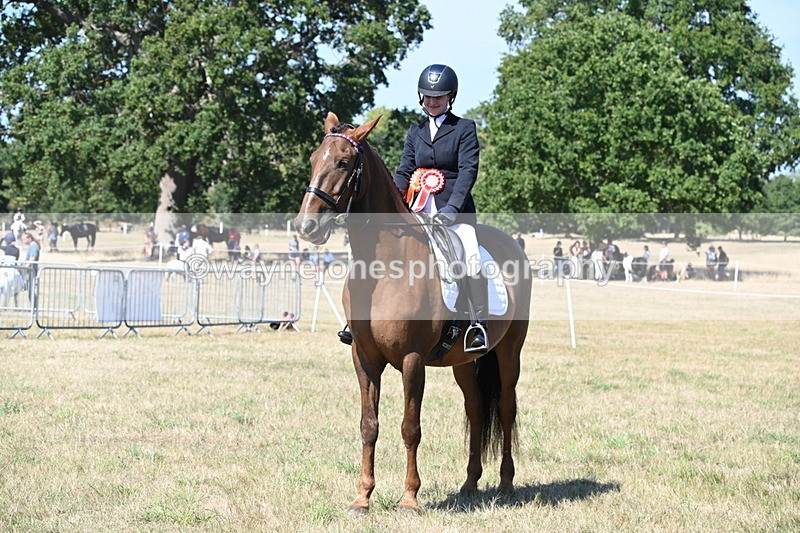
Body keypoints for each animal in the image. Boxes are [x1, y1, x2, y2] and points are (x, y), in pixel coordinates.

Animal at [293, 112, 531, 513]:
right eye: (313, 160)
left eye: (343, 162)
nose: (305, 226)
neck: (385, 267)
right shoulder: (365, 358)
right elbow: (369, 425)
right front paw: (362, 497)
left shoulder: (412, 359)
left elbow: (410, 427)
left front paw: (409, 498)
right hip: (464, 361)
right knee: (476, 409)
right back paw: (470, 484)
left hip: (509, 351)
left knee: (506, 408)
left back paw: (506, 484)